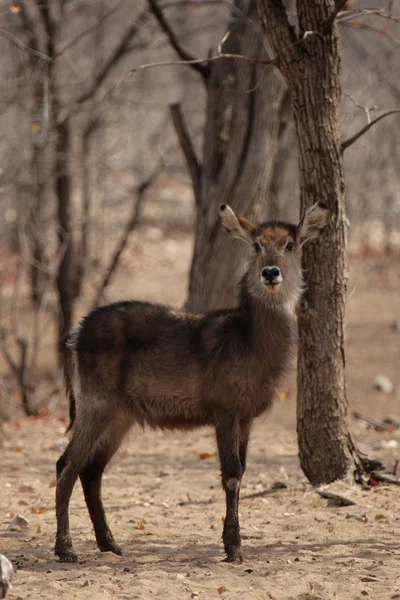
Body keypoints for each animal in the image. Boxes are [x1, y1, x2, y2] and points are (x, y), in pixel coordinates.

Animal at [54, 204, 328, 564]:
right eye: (256, 245)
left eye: (290, 244)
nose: (270, 272)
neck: (249, 342)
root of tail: (75, 333)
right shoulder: (225, 409)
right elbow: (232, 474)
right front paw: (234, 548)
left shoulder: (246, 417)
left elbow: (242, 470)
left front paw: (233, 544)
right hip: (94, 405)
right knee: (66, 465)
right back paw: (66, 549)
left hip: (120, 416)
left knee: (91, 470)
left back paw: (110, 544)